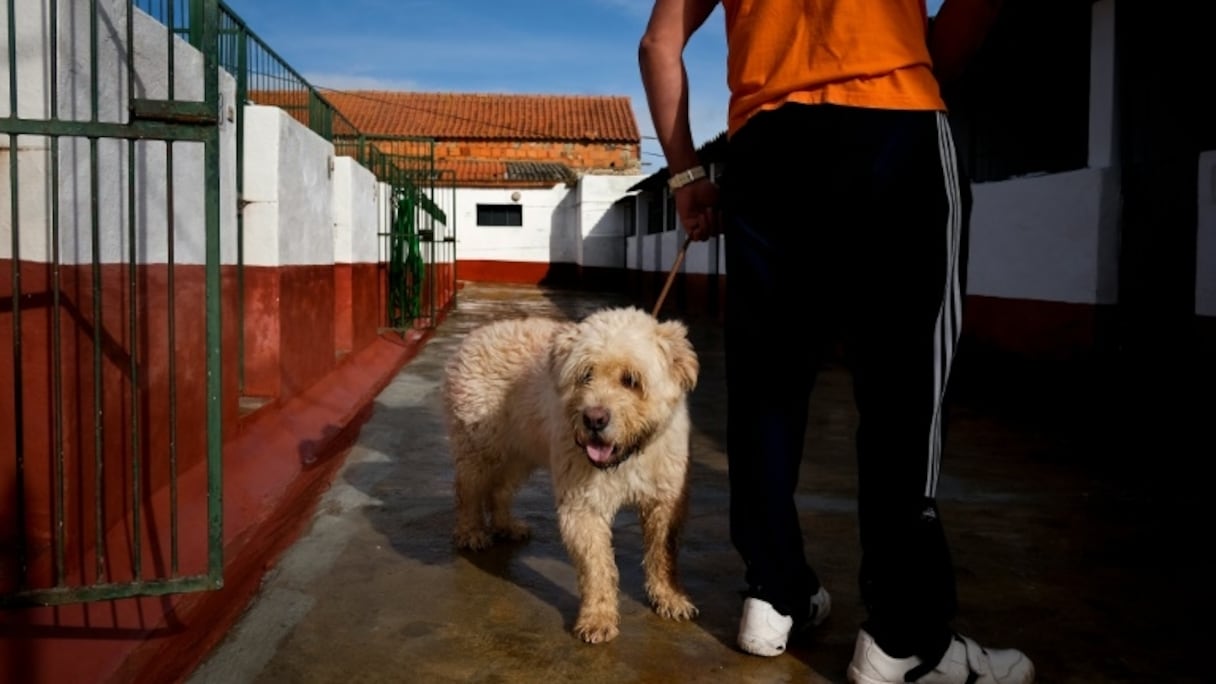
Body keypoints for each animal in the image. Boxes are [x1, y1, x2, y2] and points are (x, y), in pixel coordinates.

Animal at [442, 306, 700, 642]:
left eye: (631, 379)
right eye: (585, 375)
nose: (594, 419)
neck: (627, 456)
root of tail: (474, 336)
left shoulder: (665, 499)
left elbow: (662, 551)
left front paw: (669, 597)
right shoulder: (583, 506)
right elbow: (596, 566)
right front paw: (597, 617)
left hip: (520, 453)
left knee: (499, 489)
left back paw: (506, 525)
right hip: (480, 447)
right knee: (468, 489)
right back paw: (471, 532)